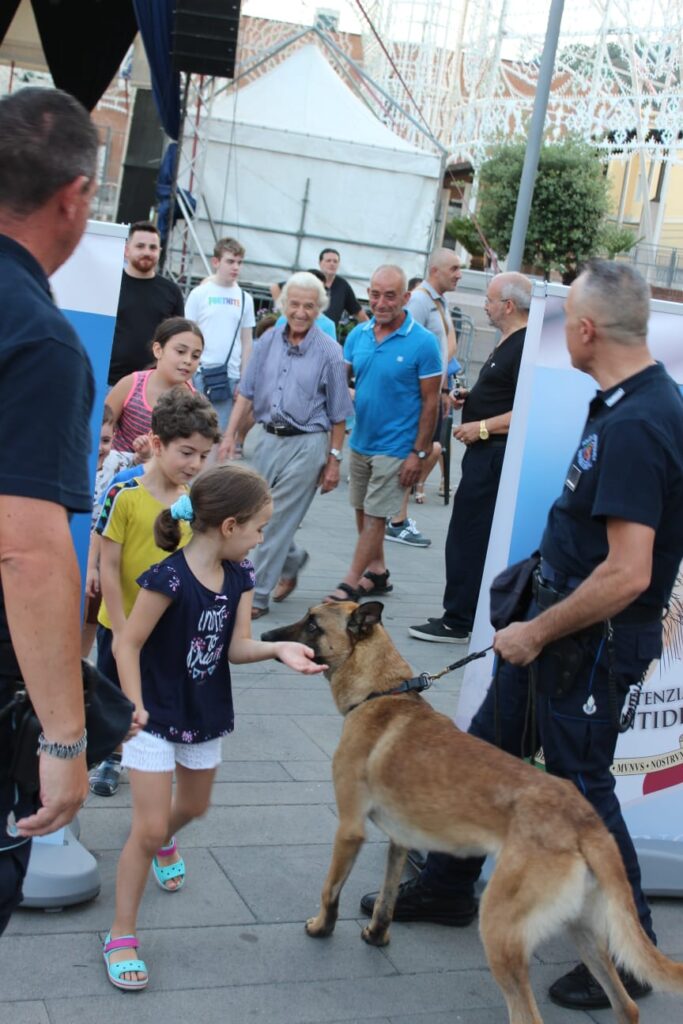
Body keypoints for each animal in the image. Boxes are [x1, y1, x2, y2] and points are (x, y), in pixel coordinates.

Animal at [262, 598, 683, 1024]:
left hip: (500, 930)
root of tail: (586, 822)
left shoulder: (349, 829)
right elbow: (386, 898)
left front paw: (321, 927)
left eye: (313, 625)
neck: (383, 692)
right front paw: (378, 935)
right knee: (626, 1006)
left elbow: (330, 889)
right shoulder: (400, 840)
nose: (264, 636)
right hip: (585, 931)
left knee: (528, 1013)